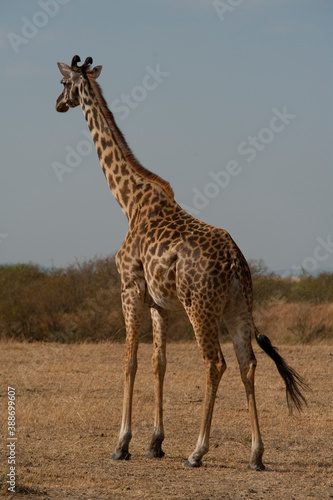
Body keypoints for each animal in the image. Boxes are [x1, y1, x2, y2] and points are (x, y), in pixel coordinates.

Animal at [55, 56, 308, 470]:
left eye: (63, 82)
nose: (58, 104)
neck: (129, 201)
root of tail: (236, 262)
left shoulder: (129, 288)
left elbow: (130, 360)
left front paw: (122, 443)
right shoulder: (160, 303)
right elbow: (159, 362)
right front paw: (155, 443)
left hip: (200, 307)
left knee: (215, 363)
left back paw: (197, 451)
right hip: (239, 306)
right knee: (248, 363)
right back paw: (256, 454)